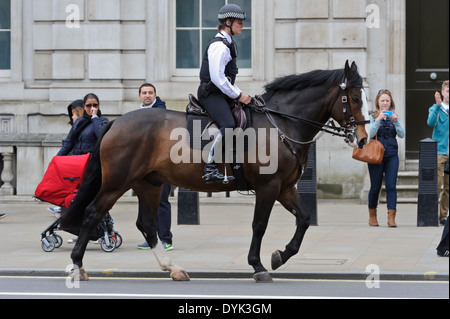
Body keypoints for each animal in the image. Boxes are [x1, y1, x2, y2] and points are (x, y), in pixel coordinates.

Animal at [61, 61, 368, 284]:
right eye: (354, 98)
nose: (364, 139)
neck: (280, 123)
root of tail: (116, 122)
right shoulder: (268, 187)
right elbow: (259, 225)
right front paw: (258, 265)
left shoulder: (284, 188)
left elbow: (303, 219)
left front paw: (280, 255)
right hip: (116, 183)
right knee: (92, 213)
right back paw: (76, 266)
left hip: (149, 184)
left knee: (147, 225)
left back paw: (172, 267)